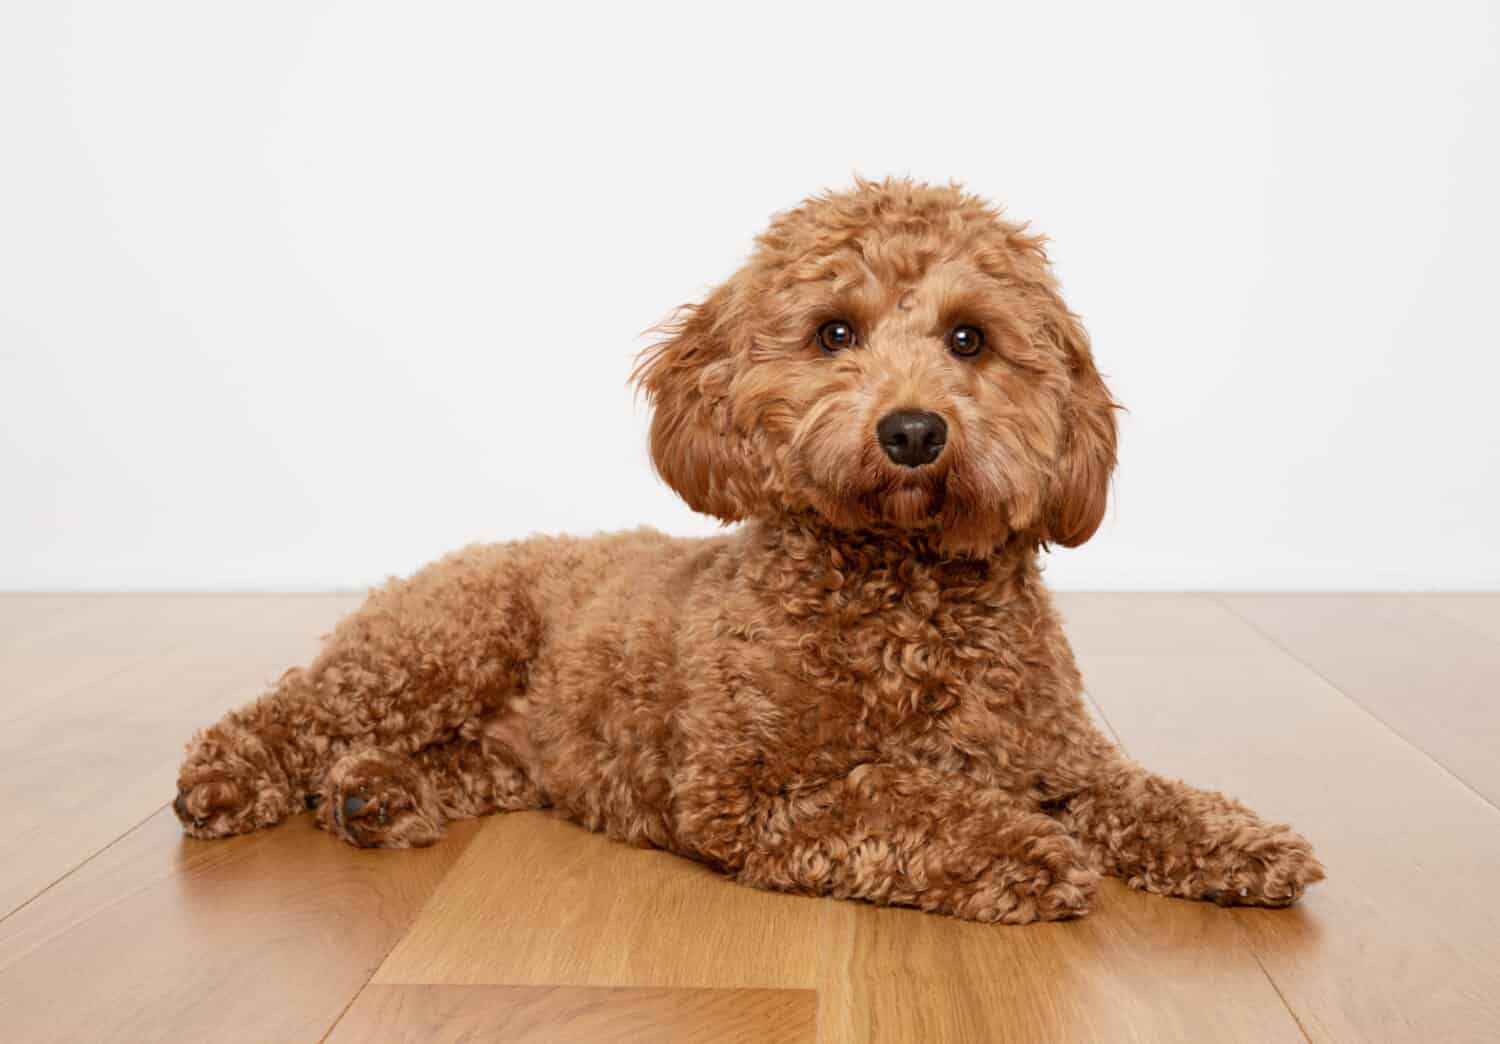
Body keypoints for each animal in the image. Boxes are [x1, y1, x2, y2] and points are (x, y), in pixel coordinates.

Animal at [175, 177, 1326, 924]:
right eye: (833, 334)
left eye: (969, 339)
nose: (913, 432)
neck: (901, 599)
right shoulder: (749, 795)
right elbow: (901, 798)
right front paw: (1028, 851)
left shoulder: (1056, 755)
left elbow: (1142, 795)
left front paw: (1241, 843)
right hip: (437, 648)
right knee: (293, 711)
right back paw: (225, 781)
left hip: (512, 749)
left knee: (437, 761)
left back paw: (373, 795)